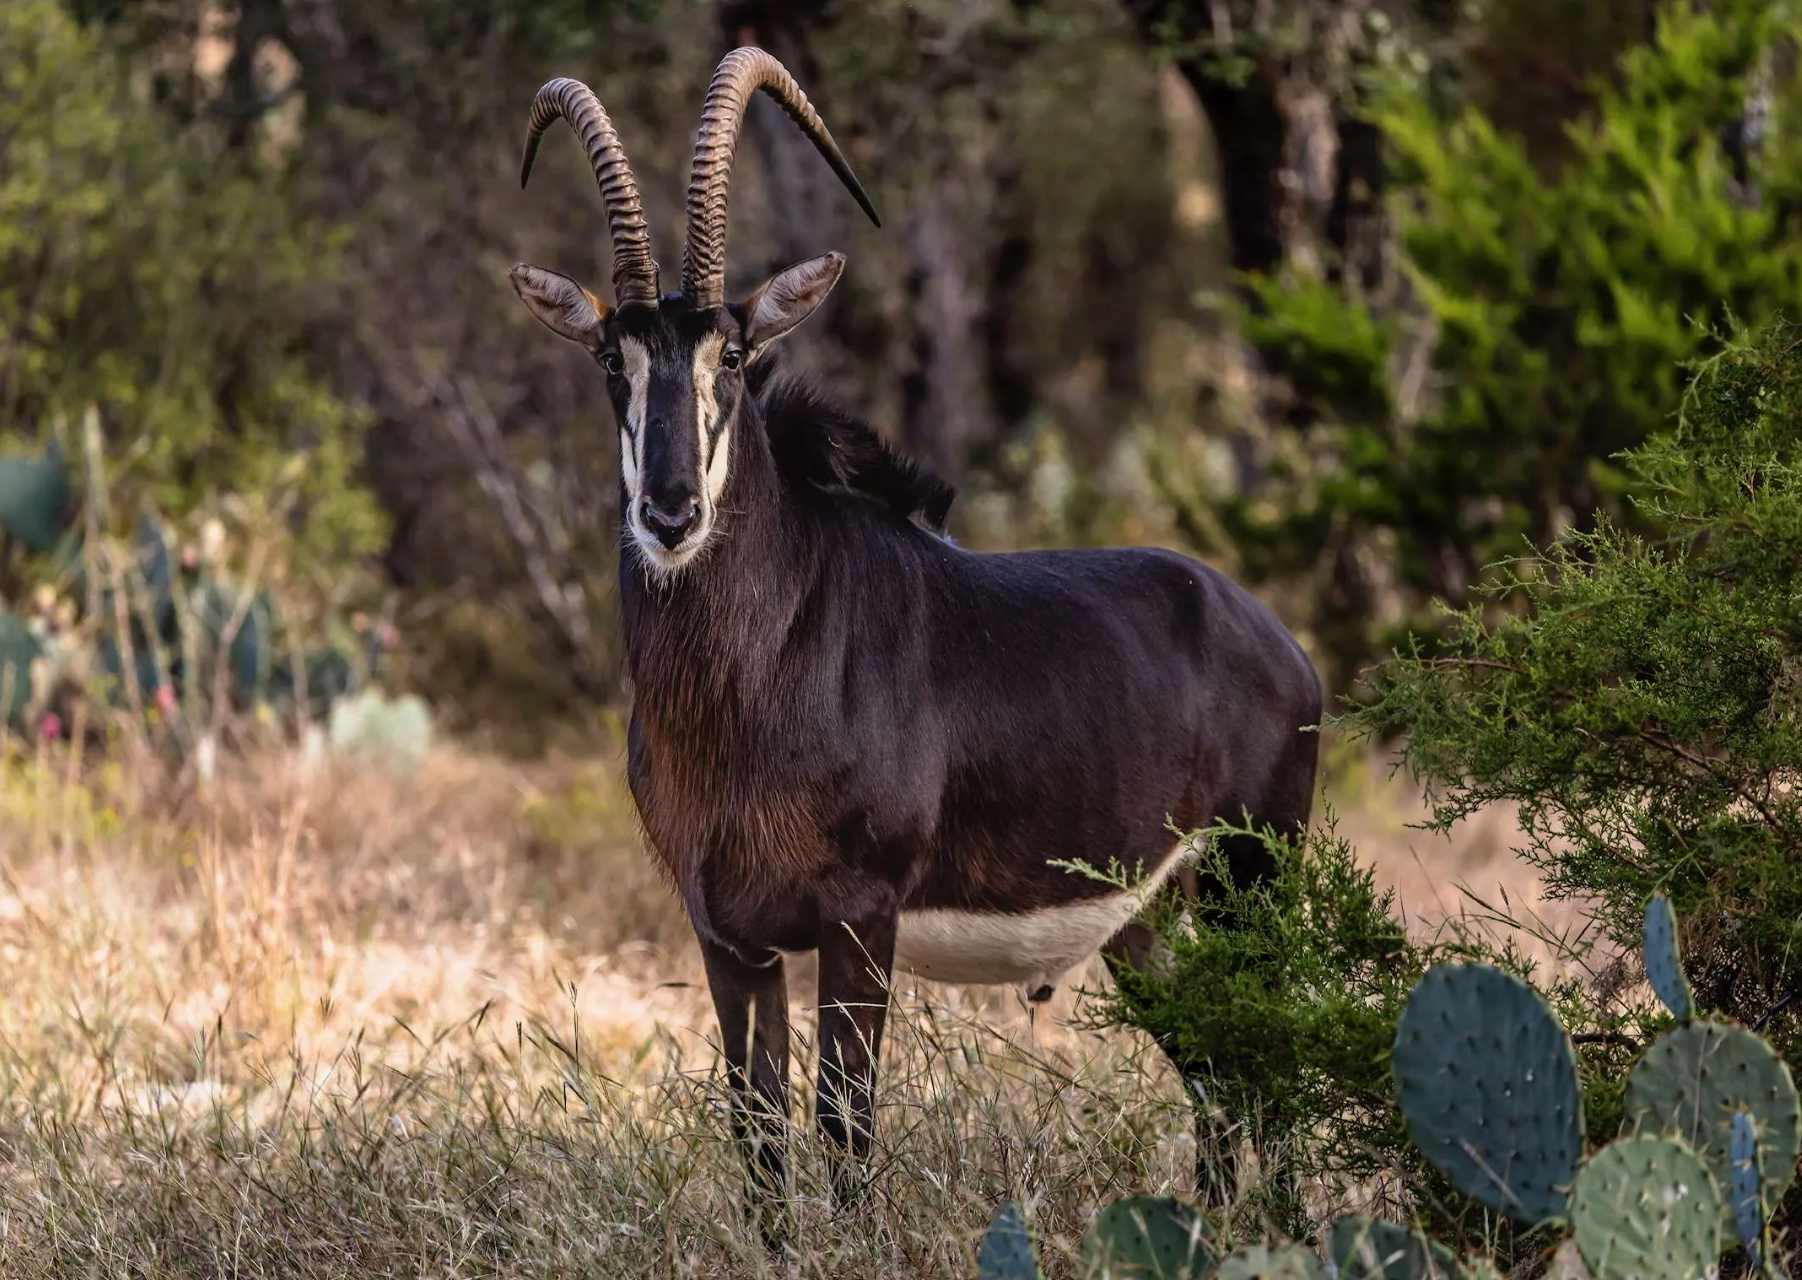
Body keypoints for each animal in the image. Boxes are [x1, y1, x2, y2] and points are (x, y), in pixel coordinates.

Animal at [507, 49, 1322, 1215]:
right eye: (614, 363)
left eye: (733, 356)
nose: (669, 512)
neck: (762, 670)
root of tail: (1276, 642)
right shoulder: (731, 937)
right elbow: (759, 1137)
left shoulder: (859, 920)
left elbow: (845, 1132)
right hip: (1151, 921)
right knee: (1221, 1075)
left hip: (1257, 875)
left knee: (1272, 1062)